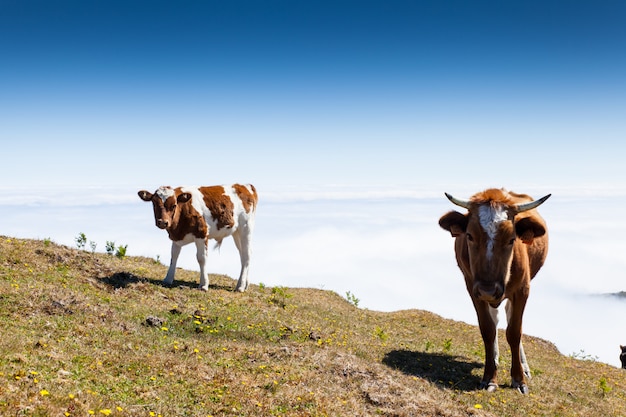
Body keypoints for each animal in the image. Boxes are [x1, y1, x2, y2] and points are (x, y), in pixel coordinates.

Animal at [436, 188, 548, 394]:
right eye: (470, 236)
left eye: (512, 239)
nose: (488, 289)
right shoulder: (473, 289)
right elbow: (488, 329)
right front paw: (490, 377)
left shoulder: (522, 289)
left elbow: (514, 331)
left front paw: (519, 379)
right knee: (495, 319)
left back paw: (524, 367)